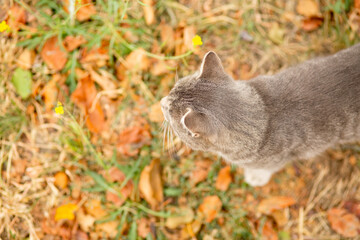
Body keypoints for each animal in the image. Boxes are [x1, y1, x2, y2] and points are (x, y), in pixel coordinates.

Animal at [161, 44, 360, 188]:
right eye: (173, 87)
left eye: (170, 111)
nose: (161, 102)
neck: (264, 114)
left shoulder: (275, 161)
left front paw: (256, 177)